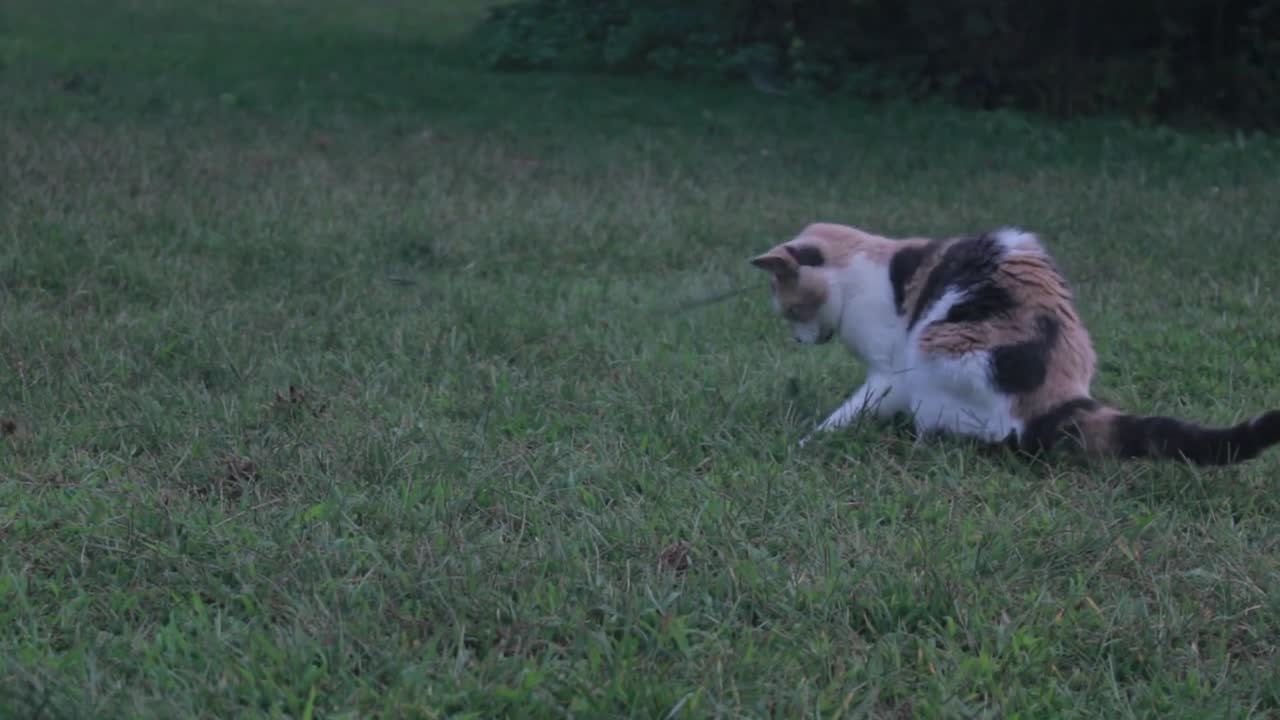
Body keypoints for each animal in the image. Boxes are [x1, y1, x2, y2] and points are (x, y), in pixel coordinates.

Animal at [747, 221, 1280, 461]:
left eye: (791, 311)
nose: (799, 339)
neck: (862, 269)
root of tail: (1061, 401)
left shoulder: (889, 372)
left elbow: (849, 410)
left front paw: (810, 440)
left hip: (937, 353)